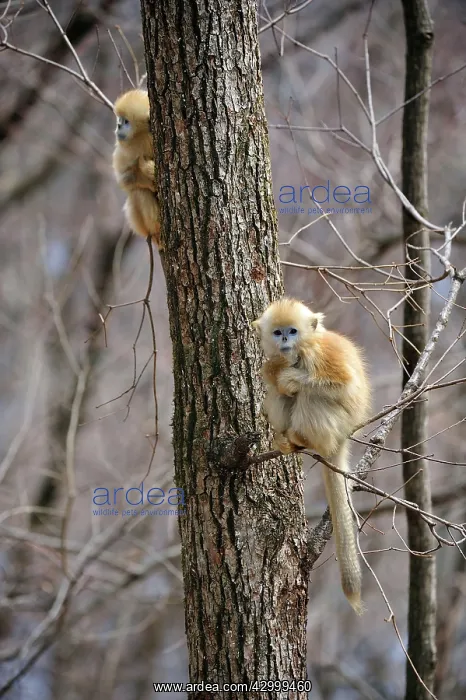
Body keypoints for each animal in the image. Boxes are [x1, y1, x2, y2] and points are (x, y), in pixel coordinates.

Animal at [112, 89, 162, 247]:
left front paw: (149, 170)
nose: (118, 125)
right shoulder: (125, 150)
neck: (142, 136)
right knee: (139, 192)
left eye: (126, 121)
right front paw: (149, 178)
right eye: (120, 119)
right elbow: (124, 179)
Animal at [252, 298, 370, 615]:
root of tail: (339, 440)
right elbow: (272, 372)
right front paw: (277, 369)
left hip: (335, 424)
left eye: (292, 331)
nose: (284, 340)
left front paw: (290, 376)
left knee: (308, 394)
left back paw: (301, 435)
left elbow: (340, 383)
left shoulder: (320, 354)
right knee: (280, 394)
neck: (298, 353)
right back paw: (286, 440)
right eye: (278, 331)